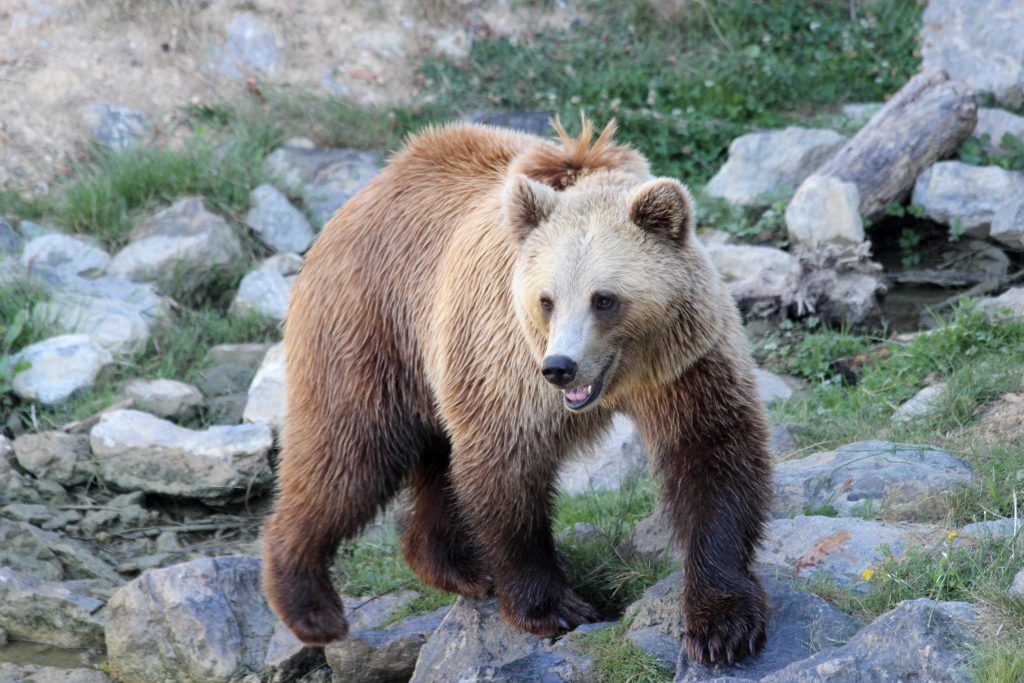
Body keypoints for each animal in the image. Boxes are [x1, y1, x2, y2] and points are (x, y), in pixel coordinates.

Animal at [260, 114, 770, 663]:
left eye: (604, 298)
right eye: (547, 299)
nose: (561, 367)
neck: (624, 377)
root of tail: (369, 187)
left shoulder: (685, 366)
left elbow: (712, 455)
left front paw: (722, 625)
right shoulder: (509, 366)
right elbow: (507, 469)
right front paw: (554, 606)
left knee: (430, 460)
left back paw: (458, 566)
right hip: (369, 328)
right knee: (348, 455)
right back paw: (310, 604)